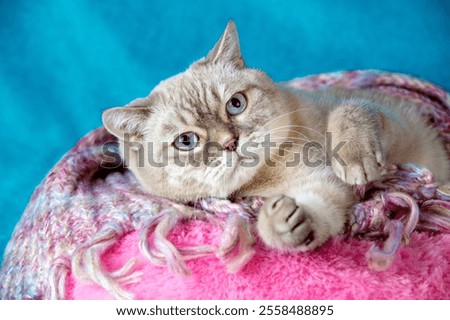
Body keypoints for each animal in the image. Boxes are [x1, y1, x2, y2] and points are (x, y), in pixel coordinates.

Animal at [102, 21, 450, 252]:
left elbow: (349, 111)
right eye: (186, 141)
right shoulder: (320, 186)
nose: (230, 142)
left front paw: (355, 160)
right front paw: (283, 223)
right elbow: (317, 212)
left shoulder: (397, 125)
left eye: (236, 104)